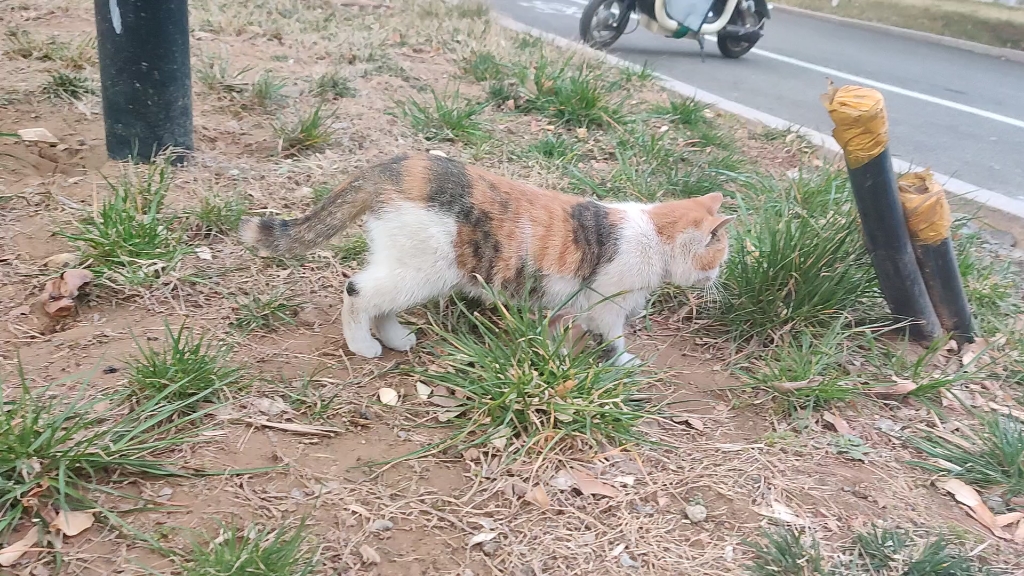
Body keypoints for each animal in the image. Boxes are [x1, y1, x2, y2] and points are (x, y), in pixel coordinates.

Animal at [240, 150, 733, 360]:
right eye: (719, 259)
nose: (716, 281)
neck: (651, 234)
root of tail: (398, 166)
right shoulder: (605, 305)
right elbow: (614, 338)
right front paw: (624, 365)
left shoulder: (567, 305)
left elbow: (556, 330)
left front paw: (553, 354)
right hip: (424, 269)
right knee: (357, 291)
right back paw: (363, 346)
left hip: (411, 269)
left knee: (382, 302)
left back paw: (395, 339)